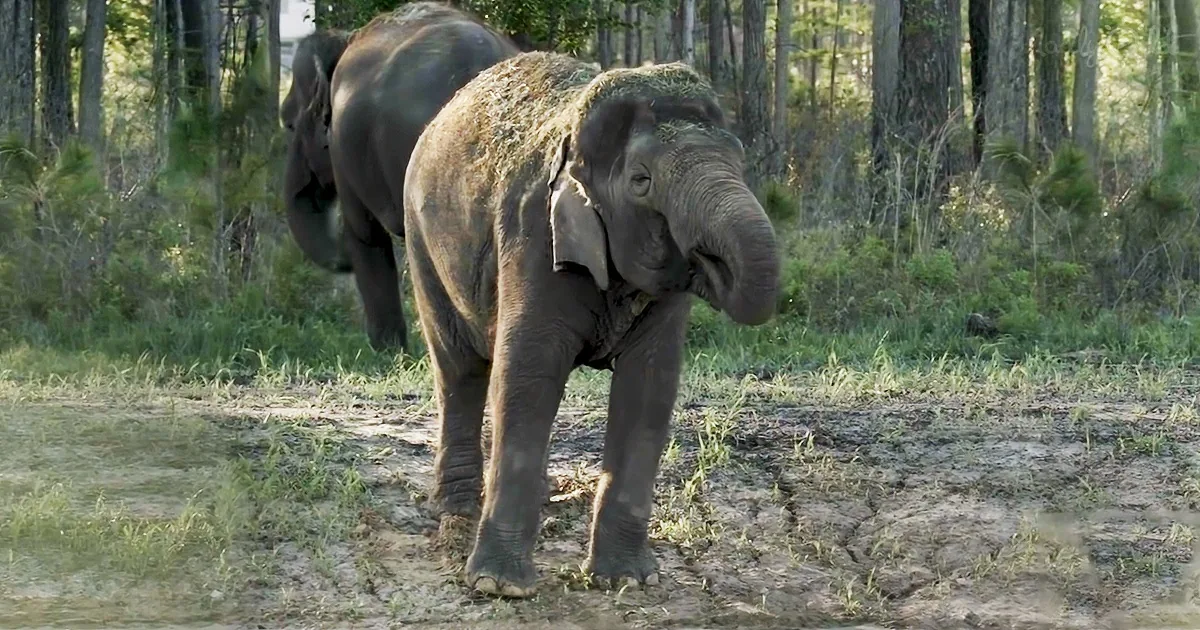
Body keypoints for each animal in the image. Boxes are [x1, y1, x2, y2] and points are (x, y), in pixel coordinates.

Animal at [402, 52, 782, 597]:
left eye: (740, 163)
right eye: (642, 181)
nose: (710, 260)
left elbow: (649, 388)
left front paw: (629, 580)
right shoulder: (533, 234)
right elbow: (528, 377)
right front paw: (500, 587)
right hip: (421, 244)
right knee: (460, 369)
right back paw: (456, 511)